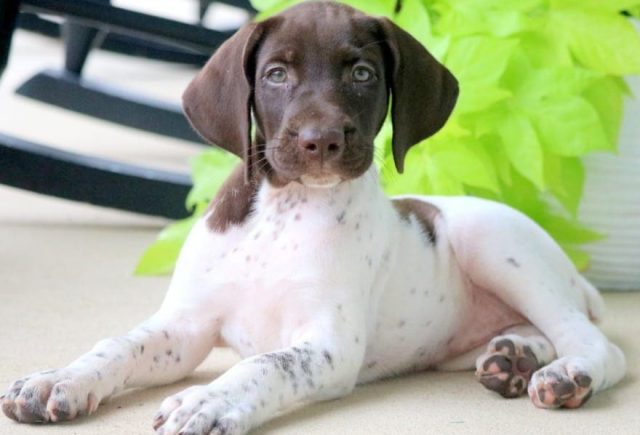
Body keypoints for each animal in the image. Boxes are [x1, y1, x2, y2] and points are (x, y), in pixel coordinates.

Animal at [2, 1, 628, 434]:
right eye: (276, 74)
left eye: (363, 74)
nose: (320, 141)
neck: (284, 212)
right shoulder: (185, 328)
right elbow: (116, 346)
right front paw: (58, 378)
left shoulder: (328, 344)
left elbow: (267, 365)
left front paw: (210, 400)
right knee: (547, 331)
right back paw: (512, 355)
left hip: (495, 244)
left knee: (598, 343)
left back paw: (567, 375)